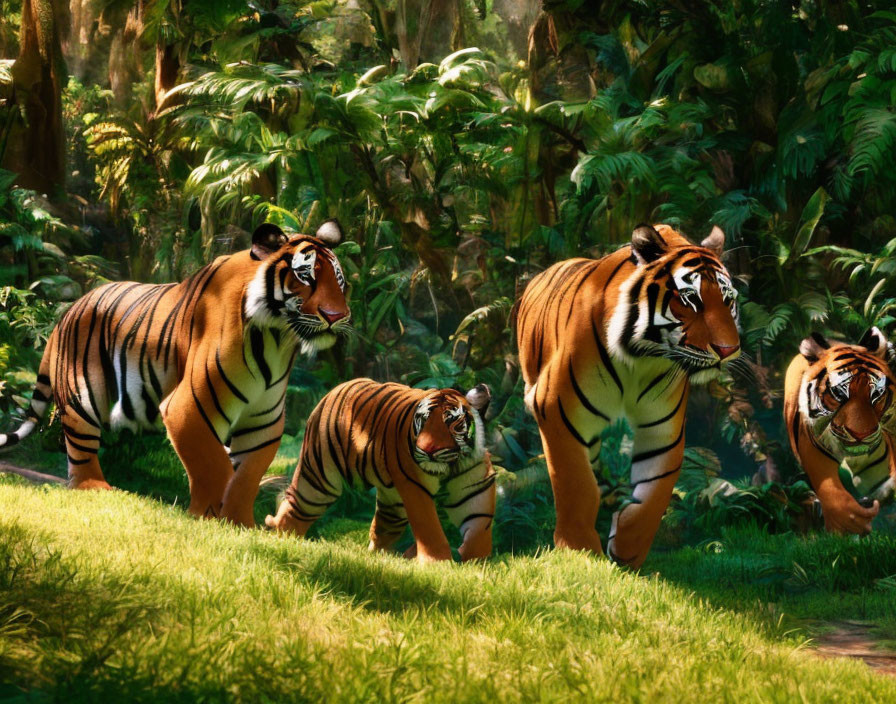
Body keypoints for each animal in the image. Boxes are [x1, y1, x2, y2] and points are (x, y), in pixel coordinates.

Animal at [0, 223, 350, 524]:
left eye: (339, 280)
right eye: (305, 276)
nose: (337, 315)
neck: (276, 338)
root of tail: (68, 309)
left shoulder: (263, 422)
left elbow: (247, 477)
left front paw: (239, 523)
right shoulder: (188, 407)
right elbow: (214, 465)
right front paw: (208, 517)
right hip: (82, 392)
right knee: (80, 443)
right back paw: (95, 487)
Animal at [264, 376, 496, 564]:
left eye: (453, 424)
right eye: (423, 421)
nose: (427, 450)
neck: (454, 464)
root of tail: (336, 389)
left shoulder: (475, 485)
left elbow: (479, 527)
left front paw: (474, 559)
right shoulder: (415, 487)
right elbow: (429, 527)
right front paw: (437, 562)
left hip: (393, 501)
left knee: (383, 526)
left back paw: (385, 556)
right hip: (320, 479)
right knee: (297, 505)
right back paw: (283, 535)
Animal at [520, 224, 744, 568]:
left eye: (728, 300)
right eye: (691, 299)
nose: (729, 349)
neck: (642, 358)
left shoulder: (662, 429)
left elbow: (653, 497)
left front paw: (626, 552)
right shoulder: (556, 408)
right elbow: (575, 482)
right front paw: (579, 548)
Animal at [784, 328, 896, 532]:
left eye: (876, 394)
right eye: (838, 393)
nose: (861, 434)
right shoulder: (815, 453)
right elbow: (833, 493)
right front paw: (848, 520)